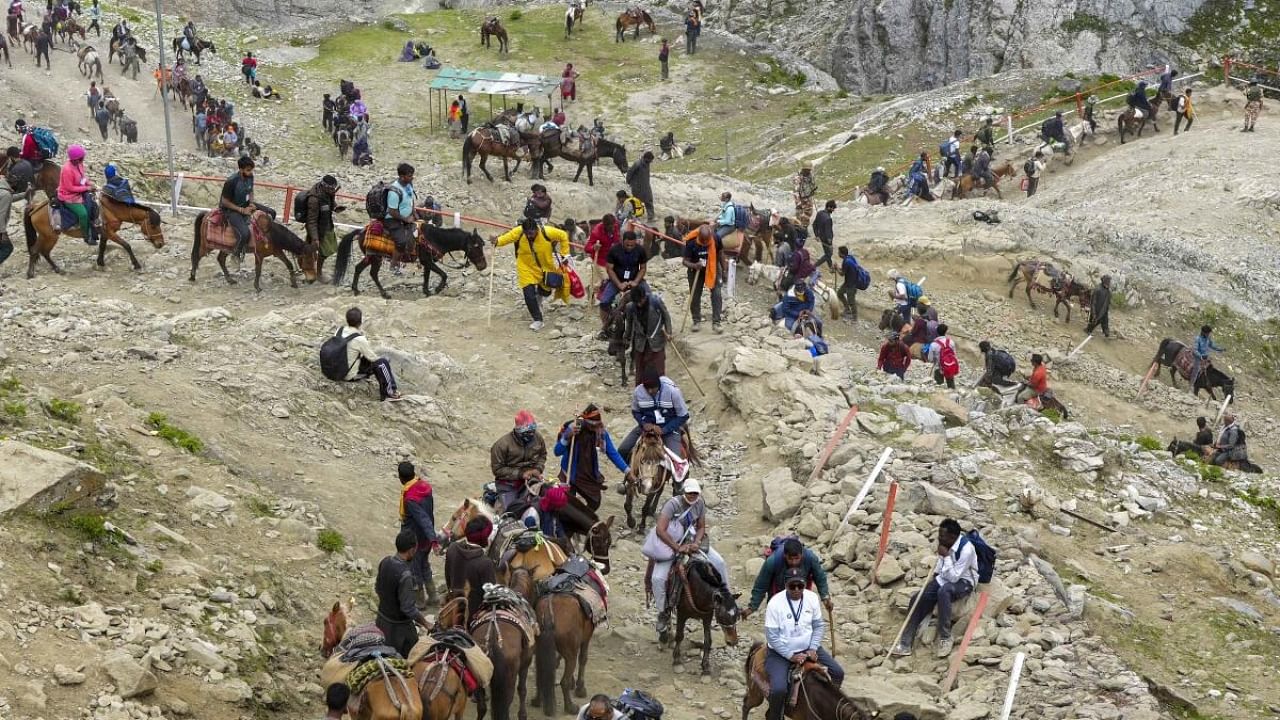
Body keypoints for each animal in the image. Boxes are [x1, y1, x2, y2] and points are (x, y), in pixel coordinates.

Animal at [22, 194, 166, 279]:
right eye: (153, 226)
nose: (161, 244)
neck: (110, 211)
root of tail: (35, 207)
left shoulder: (104, 233)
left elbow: (102, 247)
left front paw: (100, 263)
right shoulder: (110, 233)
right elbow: (126, 245)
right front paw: (136, 265)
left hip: (49, 236)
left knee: (44, 252)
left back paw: (57, 269)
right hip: (48, 236)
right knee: (36, 251)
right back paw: (30, 274)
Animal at [188, 206, 316, 289]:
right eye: (308, 261)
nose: (312, 280)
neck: (270, 233)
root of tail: (206, 215)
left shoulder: (277, 251)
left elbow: (289, 264)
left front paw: (294, 283)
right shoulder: (259, 254)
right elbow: (258, 270)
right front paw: (257, 287)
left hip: (227, 248)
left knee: (220, 259)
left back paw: (230, 280)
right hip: (207, 245)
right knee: (197, 255)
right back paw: (192, 276)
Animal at [330, 220, 488, 295]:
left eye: (482, 245)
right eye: (476, 246)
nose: (483, 266)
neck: (434, 238)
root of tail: (361, 231)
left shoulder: (427, 262)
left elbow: (427, 276)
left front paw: (427, 291)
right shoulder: (427, 261)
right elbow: (444, 274)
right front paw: (437, 289)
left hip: (371, 257)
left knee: (358, 268)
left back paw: (356, 290)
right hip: (376, 258)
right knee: (373, 273)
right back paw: (384, 294)